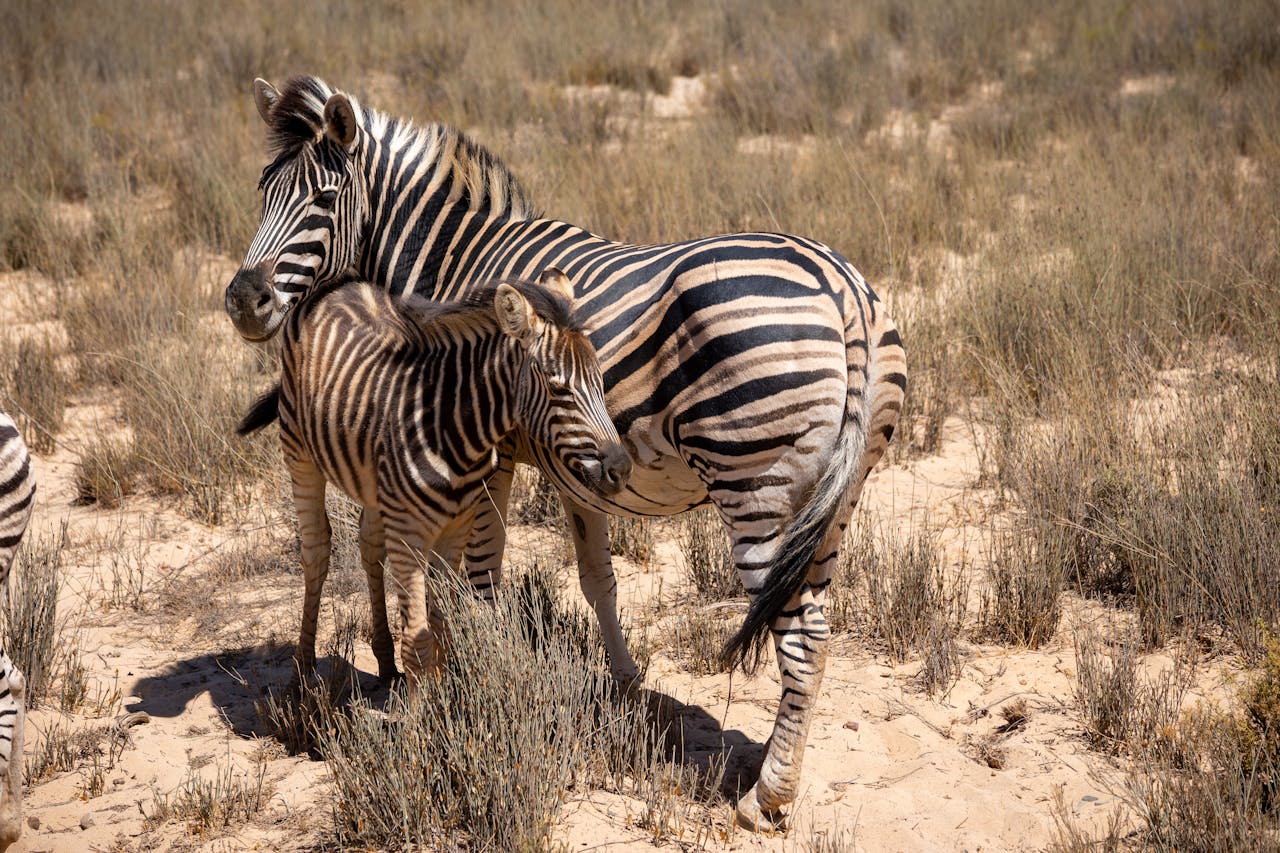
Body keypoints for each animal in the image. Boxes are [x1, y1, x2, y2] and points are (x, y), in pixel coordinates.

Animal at [238, 269, 630, 687]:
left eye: (601, 382)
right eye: (559, 389)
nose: (622, 469)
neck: (453, 429)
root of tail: (339, 283)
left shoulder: (456, 530)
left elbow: (440, 626)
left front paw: (443, 698)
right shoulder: (408, 537)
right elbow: (418, 643)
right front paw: (420, 707)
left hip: (375, 486)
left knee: (369, 546)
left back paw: (384, 661)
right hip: (299, 452)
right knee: (316, 551)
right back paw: (303, 673)